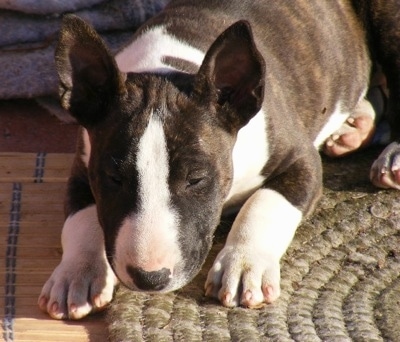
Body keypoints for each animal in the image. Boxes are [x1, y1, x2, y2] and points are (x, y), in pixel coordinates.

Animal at [38, 0, 400, 320]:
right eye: (113, 178)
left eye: (196, 178)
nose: (149, 278)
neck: (168, 67)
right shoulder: (82, 167)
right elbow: (80, 219)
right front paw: (77, 275)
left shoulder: (301, 160)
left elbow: (265, 204)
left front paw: (244, 263)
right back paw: (355, 127)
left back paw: (390, 156)